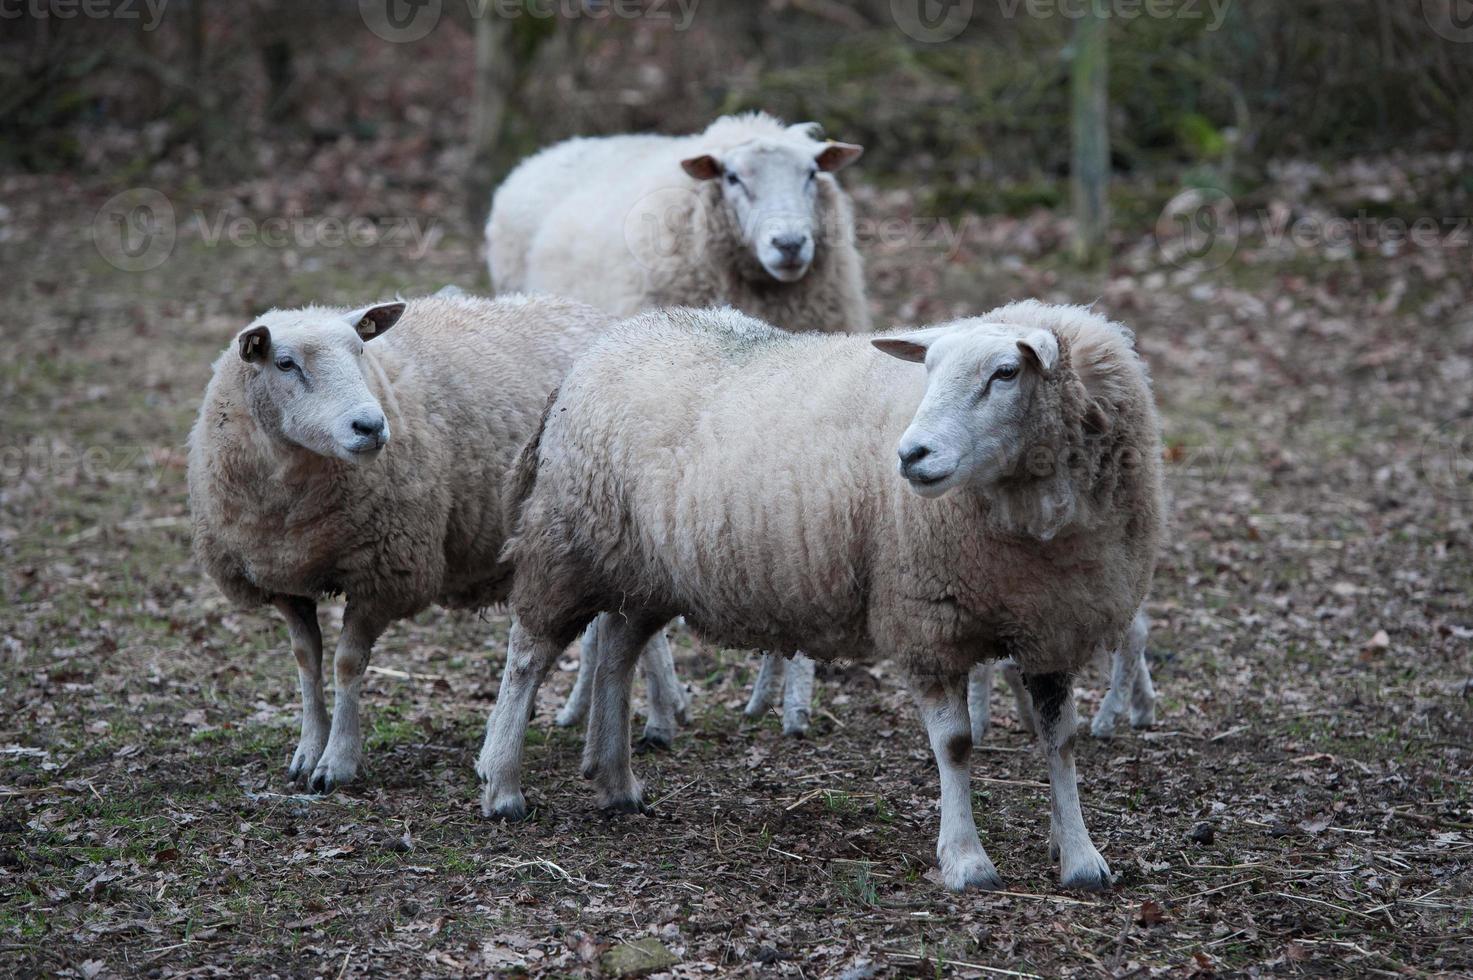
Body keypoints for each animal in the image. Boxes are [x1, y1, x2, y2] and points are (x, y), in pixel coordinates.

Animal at [187, 288, 686, 789]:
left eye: (360, 351)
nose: (371, 426)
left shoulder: (385, 573)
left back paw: (659, 719)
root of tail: (605, 319)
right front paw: (308, 751)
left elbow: (347, 664)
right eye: (285, 363)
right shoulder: (282, 581)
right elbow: (307, 661)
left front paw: (338, 762)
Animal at [477, 302, 1166, 890]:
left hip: (648, 570)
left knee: (618, 652)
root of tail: (599, 348)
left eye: (1005, 373)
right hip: (571, 543)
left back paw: (616, 781)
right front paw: (966, 860)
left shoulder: (1053, 624)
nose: (910, 455)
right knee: (528, 654)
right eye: (929, 370)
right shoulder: (925, 618)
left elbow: (1060, 743)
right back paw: (503, 784)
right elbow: (955, 746)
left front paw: (1080, 857)